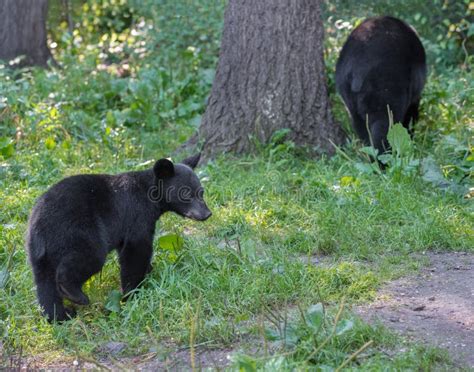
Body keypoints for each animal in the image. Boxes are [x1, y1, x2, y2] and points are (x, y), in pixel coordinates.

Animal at [26, 154, 211, 322]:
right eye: (186, 194)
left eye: (201, 192)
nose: (207, 214)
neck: (150, 196)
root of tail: (40, 224)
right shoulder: (137, 216)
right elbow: (136, 251)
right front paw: (132, 293)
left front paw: (148, 273)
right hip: (79, 230)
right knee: (88, 258)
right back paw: (75, 295)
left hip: (40, 251)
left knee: (44, 282)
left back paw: (59, 315)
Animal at [336, 16, 428, 153]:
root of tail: (357, 68)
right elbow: (410, 116)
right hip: (385, 88)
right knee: (385, 125)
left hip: (348, 94)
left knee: (361, 126)